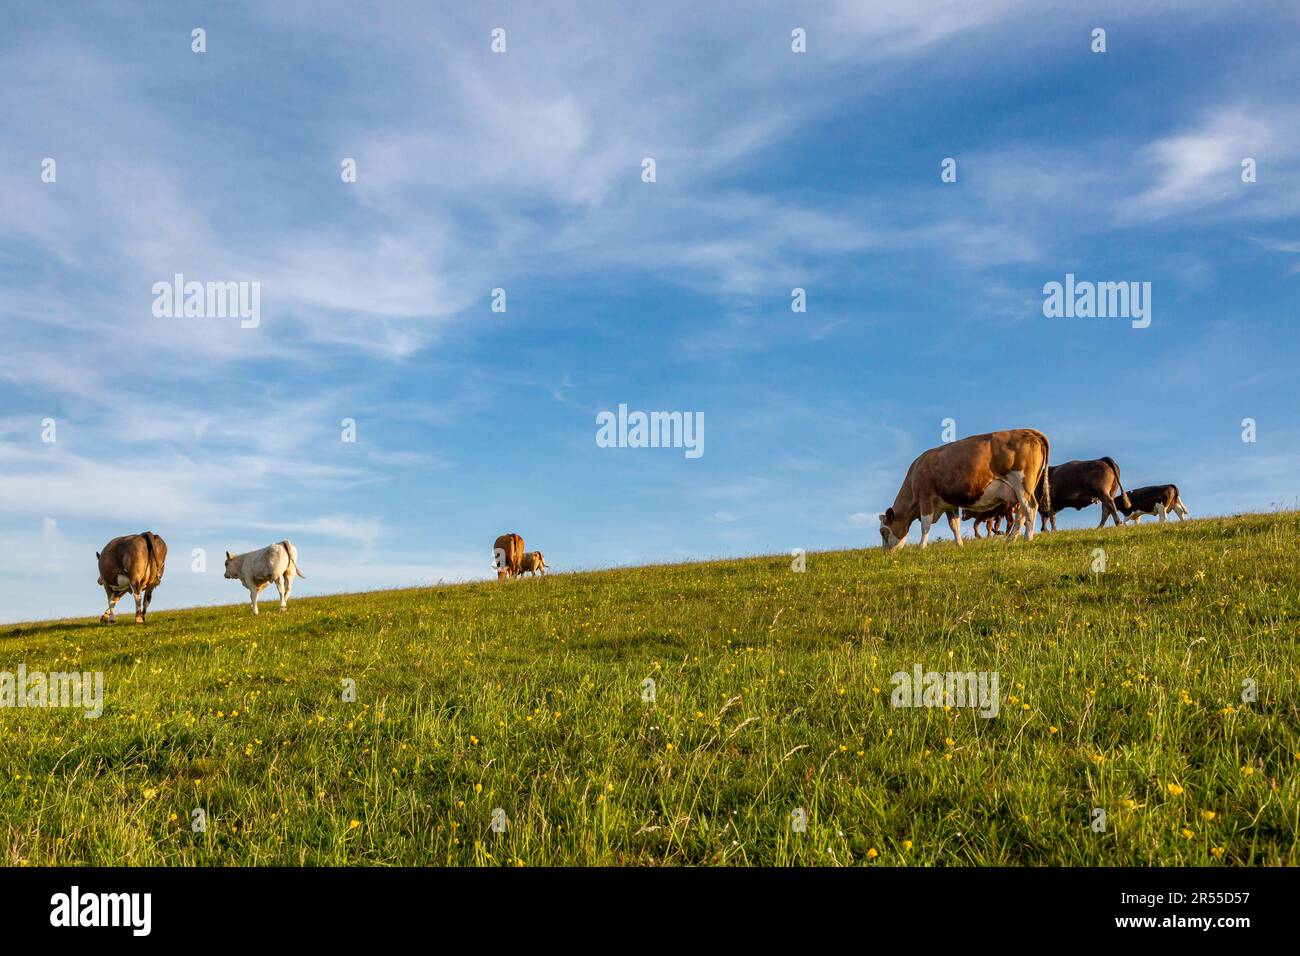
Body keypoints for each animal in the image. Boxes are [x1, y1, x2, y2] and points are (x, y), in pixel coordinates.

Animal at [879, 429, 1051, 550]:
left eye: (883, 532)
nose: (885, 553)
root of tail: (1027, 430)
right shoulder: (949, 504)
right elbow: (954, 526)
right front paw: (959, 545)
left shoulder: (925, 499)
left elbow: (925, 526)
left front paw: (921, 547)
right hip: (1019, 490)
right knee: (1021, 513)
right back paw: (1011, 539)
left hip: (1022, 483)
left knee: (1030, 508)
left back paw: (1027, 538)